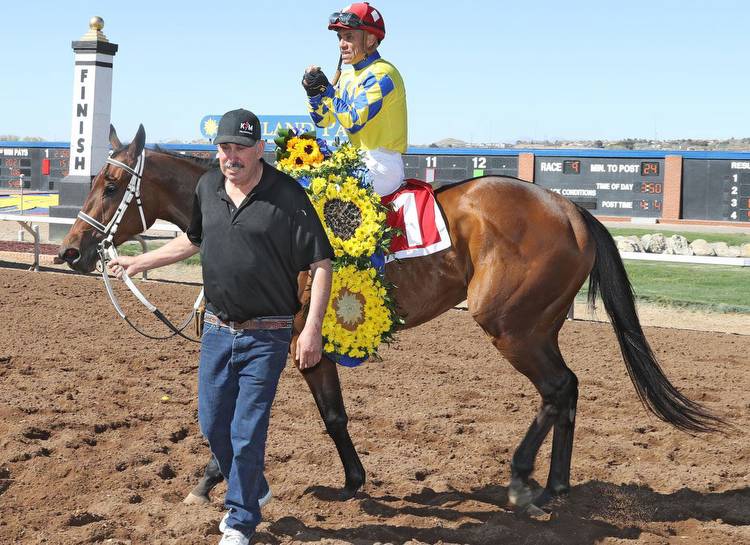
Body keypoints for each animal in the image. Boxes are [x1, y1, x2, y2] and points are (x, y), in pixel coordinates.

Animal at [55, 126, 724, 516]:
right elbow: (324, 414)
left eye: (109, 182)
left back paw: (520, 480)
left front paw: (214, 478)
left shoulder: (296, 340)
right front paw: (349, 477)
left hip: (510, 326)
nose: (71, 253)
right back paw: (557, 484)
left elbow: (287, 416)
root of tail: (569, 207)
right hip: (540, 325)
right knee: (570, 389)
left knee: (558, 389)